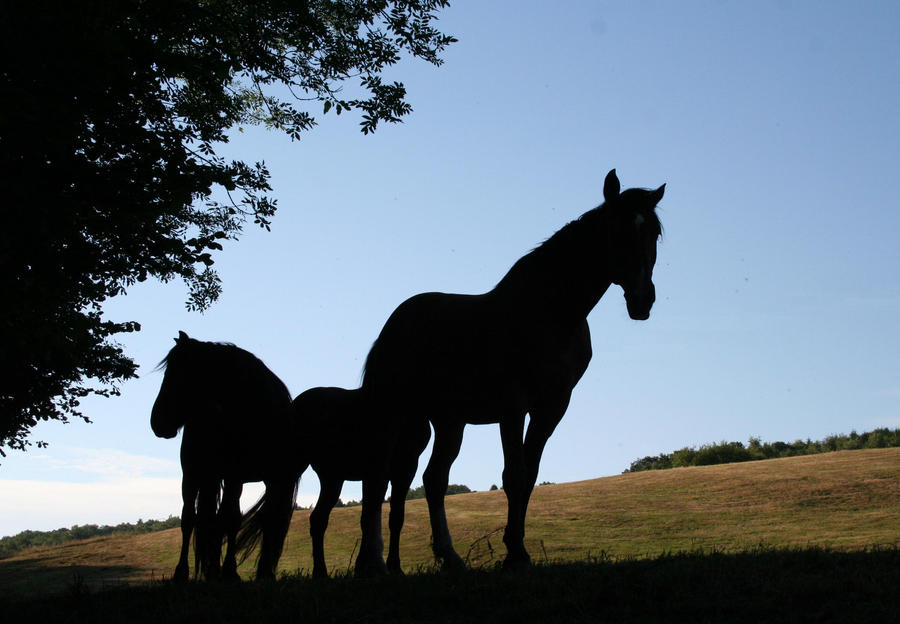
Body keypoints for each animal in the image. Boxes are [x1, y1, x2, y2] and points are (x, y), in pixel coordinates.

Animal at [150, 332, 296, 580]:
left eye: (180, 374)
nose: (157, 422)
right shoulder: (213, 475)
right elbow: (203, 520)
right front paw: (218, 571)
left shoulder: (249, 478)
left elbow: (237, 520)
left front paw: (239, 571)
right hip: (198, 476)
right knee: (195, 518)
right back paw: (194, 571)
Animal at [239, 388, 428, 576]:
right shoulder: (388, 470)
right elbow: (370, 518)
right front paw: (372, 566)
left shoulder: (403, 470)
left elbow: (392, 517)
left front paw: (385, 566)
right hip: (312, 473)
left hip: (327, 477)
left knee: (311, 519)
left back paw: (314, 572)